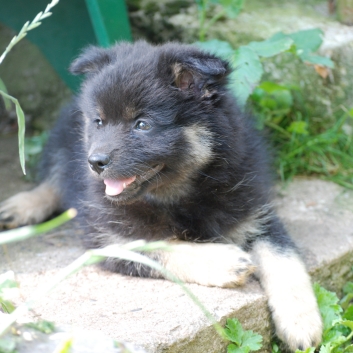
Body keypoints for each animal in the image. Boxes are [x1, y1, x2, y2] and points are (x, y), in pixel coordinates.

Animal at [0, 40, 322, 350]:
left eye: (142, 125)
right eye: (98, 121)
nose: (95, 162)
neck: (178, 195)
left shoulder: (256, 214)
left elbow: (285, 261)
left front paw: (302, 323)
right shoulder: (112, 238)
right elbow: (164, 245)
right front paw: (225, 261)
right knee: (52, 180)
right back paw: (20, 207)